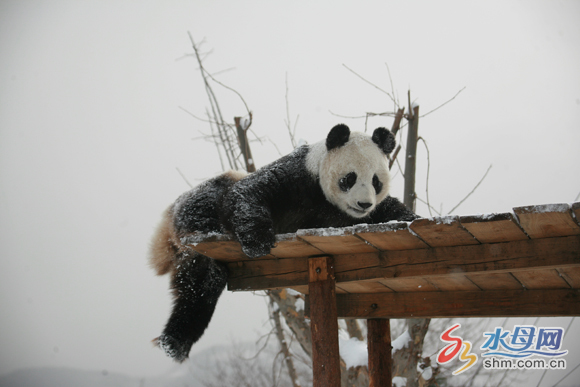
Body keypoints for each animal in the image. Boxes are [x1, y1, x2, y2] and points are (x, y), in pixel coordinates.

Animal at [150, 125, 416, 364]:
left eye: (376, 181)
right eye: (349, 179)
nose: (363, 204)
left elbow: (387, 210)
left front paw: (409, 217)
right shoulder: (296, 177)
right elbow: (248, 191)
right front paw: (258, 242)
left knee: (198, 289)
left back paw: (173, 344)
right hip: (200, 204)